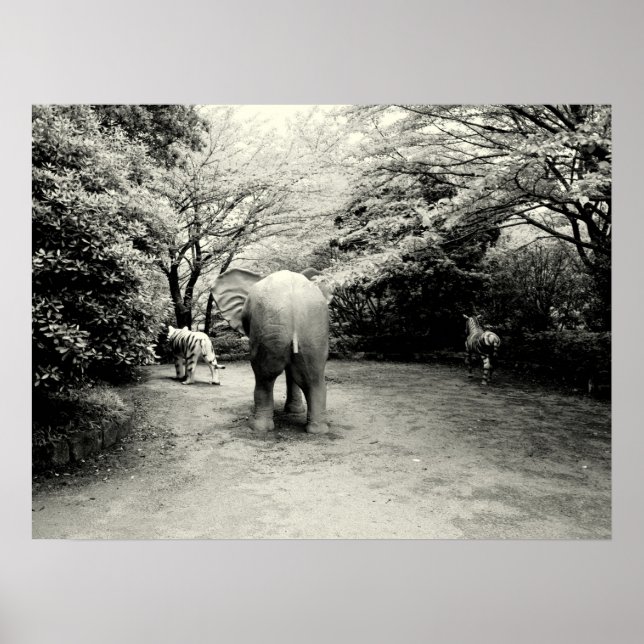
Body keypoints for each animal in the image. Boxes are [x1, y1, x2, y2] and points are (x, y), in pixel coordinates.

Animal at [211, 268, 332, 434]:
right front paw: (294, 411)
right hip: (311, 329)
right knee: (312, 378)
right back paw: (318, 430)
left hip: (269, 326)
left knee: (265, 375)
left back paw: (258, 427)